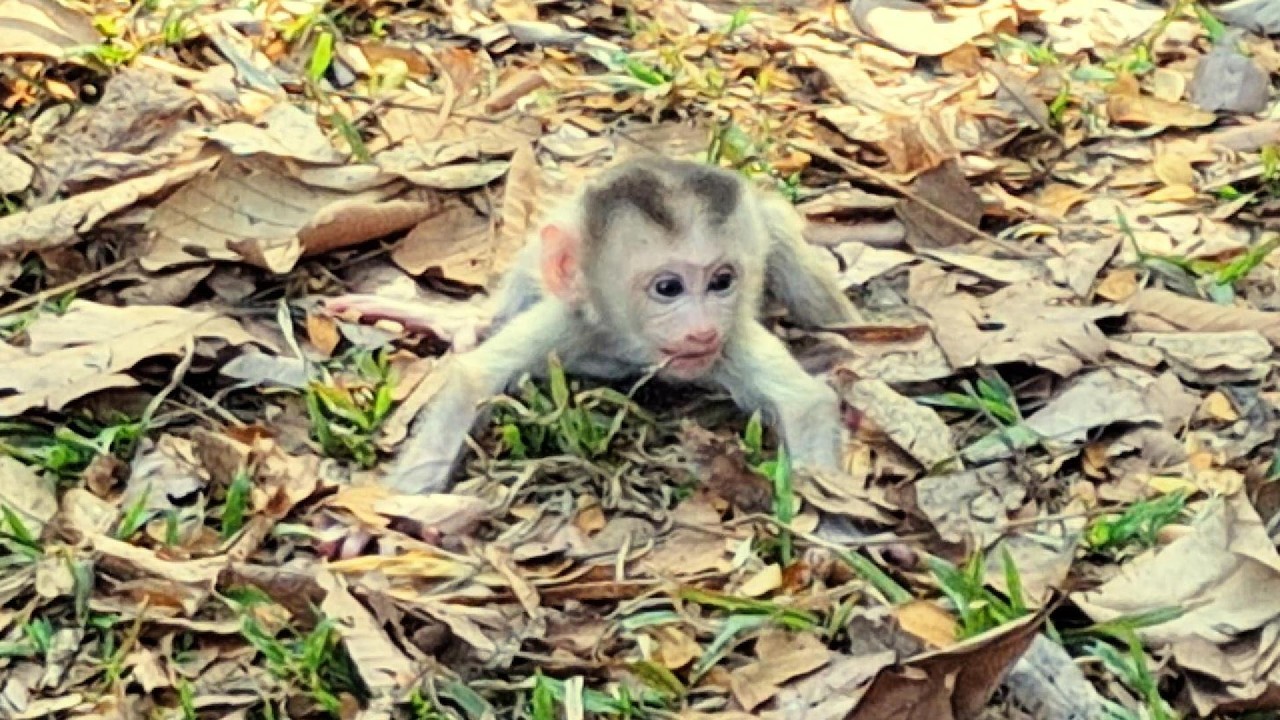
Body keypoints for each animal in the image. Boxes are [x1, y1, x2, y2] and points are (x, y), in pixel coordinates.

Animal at [325, 156, 863, 495]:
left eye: (722, 282)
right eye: (668, 288)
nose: (702, 329)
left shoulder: (728, 338)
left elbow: (807, 404)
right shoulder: (571, 321)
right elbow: (475, 379)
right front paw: (398, 515)